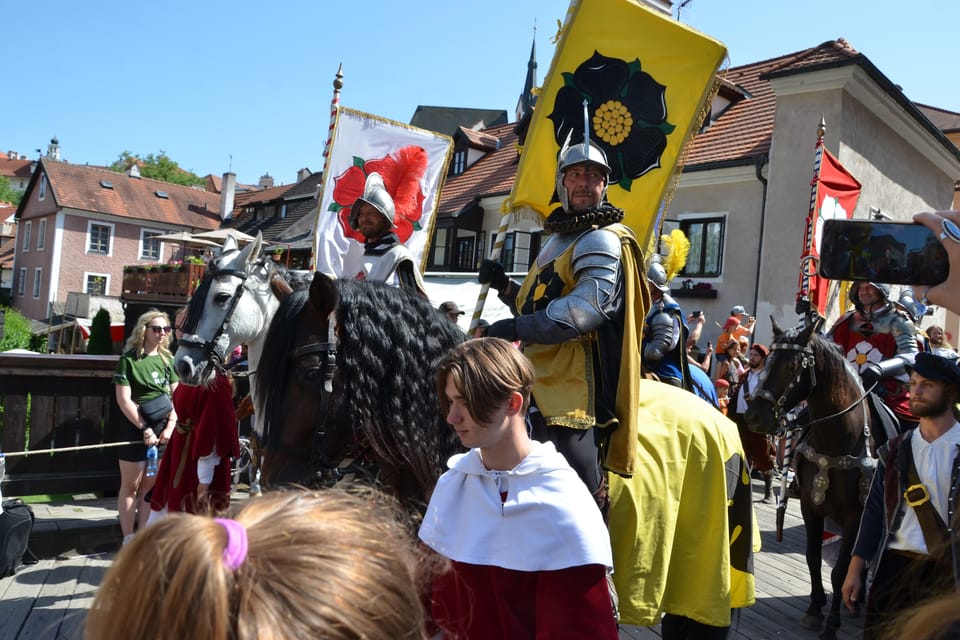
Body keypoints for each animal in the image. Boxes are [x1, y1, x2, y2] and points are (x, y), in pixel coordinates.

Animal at [744, 320, 884, 640]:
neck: (837, 440)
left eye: (792, 366)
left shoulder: (855, 515)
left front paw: (831, 623)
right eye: (768, 360)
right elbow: (812, 556)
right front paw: (814, 608)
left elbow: (841, 569)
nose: (755, 416)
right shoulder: (811, 507)